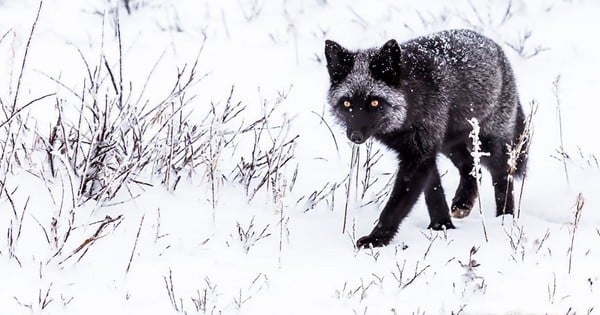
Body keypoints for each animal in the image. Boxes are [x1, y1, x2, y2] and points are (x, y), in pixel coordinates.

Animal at [326, 29, 528, 248]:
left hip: (486, 143)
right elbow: (434, 191)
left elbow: (395, 206)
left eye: (374, 102)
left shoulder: (419, 156)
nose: (355, 136)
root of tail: (496, 47)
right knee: (472, 167)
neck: (410, 102)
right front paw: (441, 226)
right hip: (449, 144)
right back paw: (463, 202)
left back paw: (505, 218)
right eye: (347, 103)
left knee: (503, 174)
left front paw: (377, 238)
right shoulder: (423, 151)